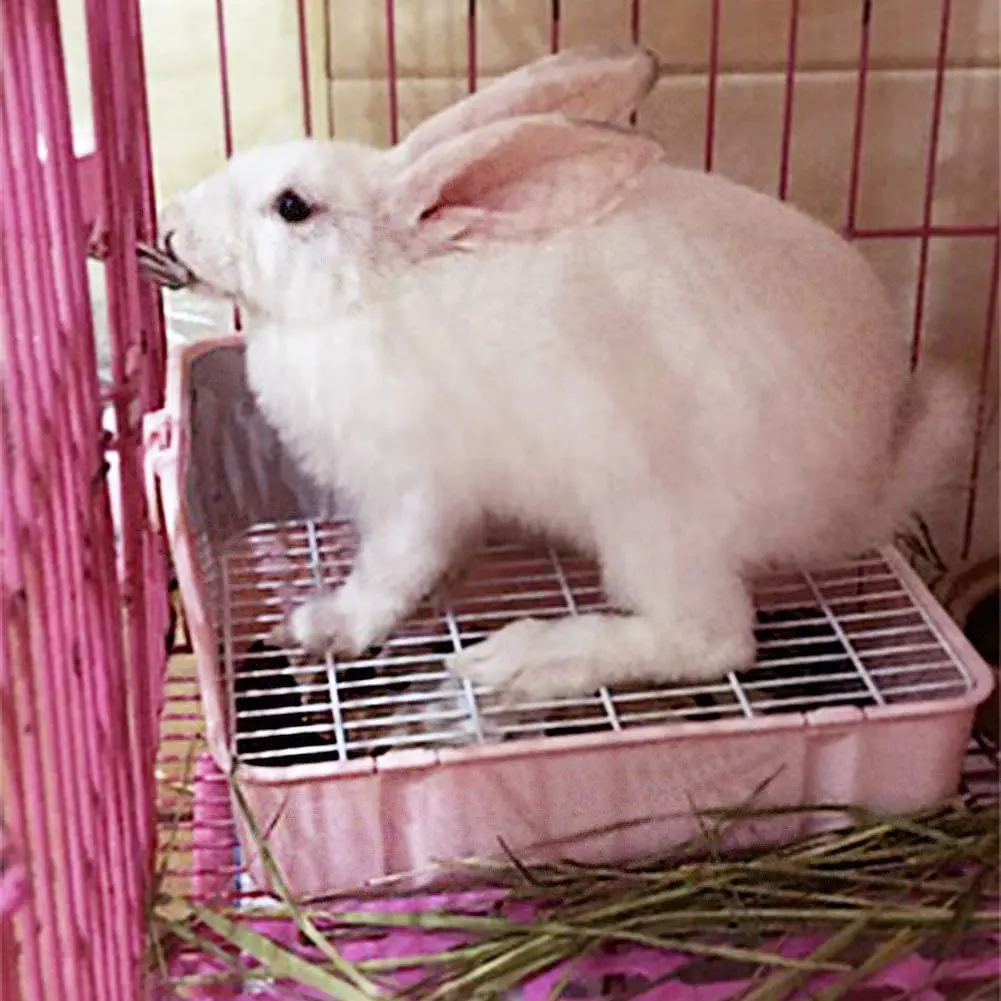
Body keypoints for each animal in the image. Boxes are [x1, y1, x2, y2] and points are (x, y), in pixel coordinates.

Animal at [157, 47, 971, 704]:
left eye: (293, 206)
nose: (172, 228)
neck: (369, 290)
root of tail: (864, 487)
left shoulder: (416, 487)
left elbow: (392, 569)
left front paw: (323, 626)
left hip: (651, 522)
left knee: (712, 638)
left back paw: (524, 660)